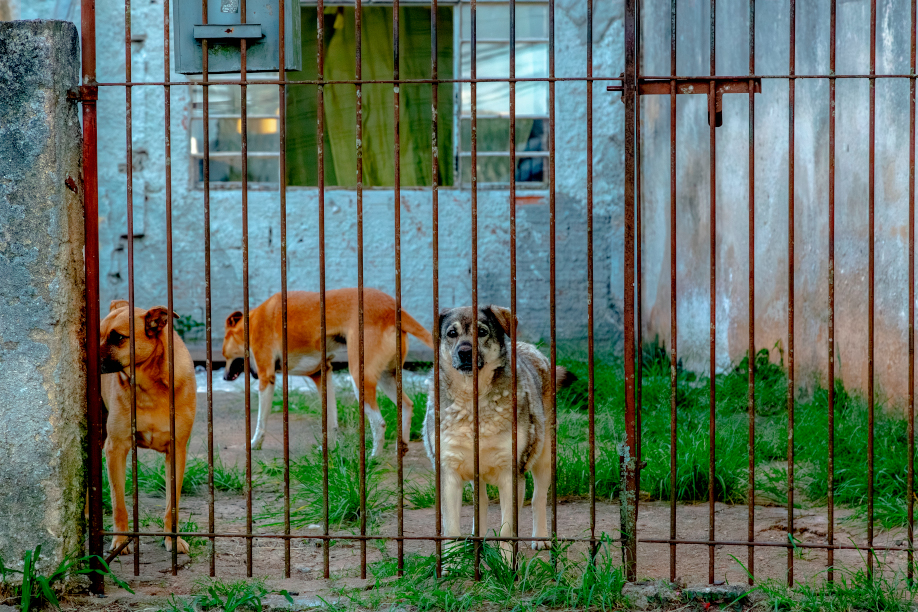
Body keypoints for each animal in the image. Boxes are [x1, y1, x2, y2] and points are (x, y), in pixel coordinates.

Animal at [100, 300, 198, 556]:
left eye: (118, 337)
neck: (149, 386)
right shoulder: (115, 448)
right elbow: (119, 503)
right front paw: (120, 540)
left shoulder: (177, 451)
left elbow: (172, 504)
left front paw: (173, 540)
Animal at [225, 286, 436, 454]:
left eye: (225, 353)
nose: (225, 377)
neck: (252, 322)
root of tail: (393, 307)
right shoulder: (322, 374)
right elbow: (332, 420)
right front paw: (330, 448)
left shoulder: (265, 378)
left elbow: (261, 421)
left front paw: (255, 444)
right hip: (387, 378)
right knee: (407, 405)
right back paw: (402, 446)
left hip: (360, 379)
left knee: (379, 423)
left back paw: (373, 459)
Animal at [424, 304, 576, 556]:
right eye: (452, 333)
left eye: (482, 331)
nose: (465, 352)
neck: (473, 403)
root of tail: (529, 347)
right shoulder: (449, 472)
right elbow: (452, 530)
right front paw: (452, 563)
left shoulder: (511, 474)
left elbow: (507, 530)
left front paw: (506, 563)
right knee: (482, 501)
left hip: (544, 457)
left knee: (538, 498)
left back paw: (541, 537)